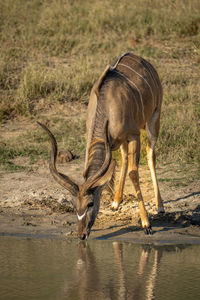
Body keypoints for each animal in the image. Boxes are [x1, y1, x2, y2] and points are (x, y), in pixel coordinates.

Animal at [37, 51, 164, 239]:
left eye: (90, 203)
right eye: (74, 205)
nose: (82, 234)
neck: (108, 108)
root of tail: (141, 59)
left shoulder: (133, 134)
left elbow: (134, 173)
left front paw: (146, 224)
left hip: (154, 117)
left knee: (150, 156)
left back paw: (160, 206)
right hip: (122, 141)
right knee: (124, 159)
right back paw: (116, 202)